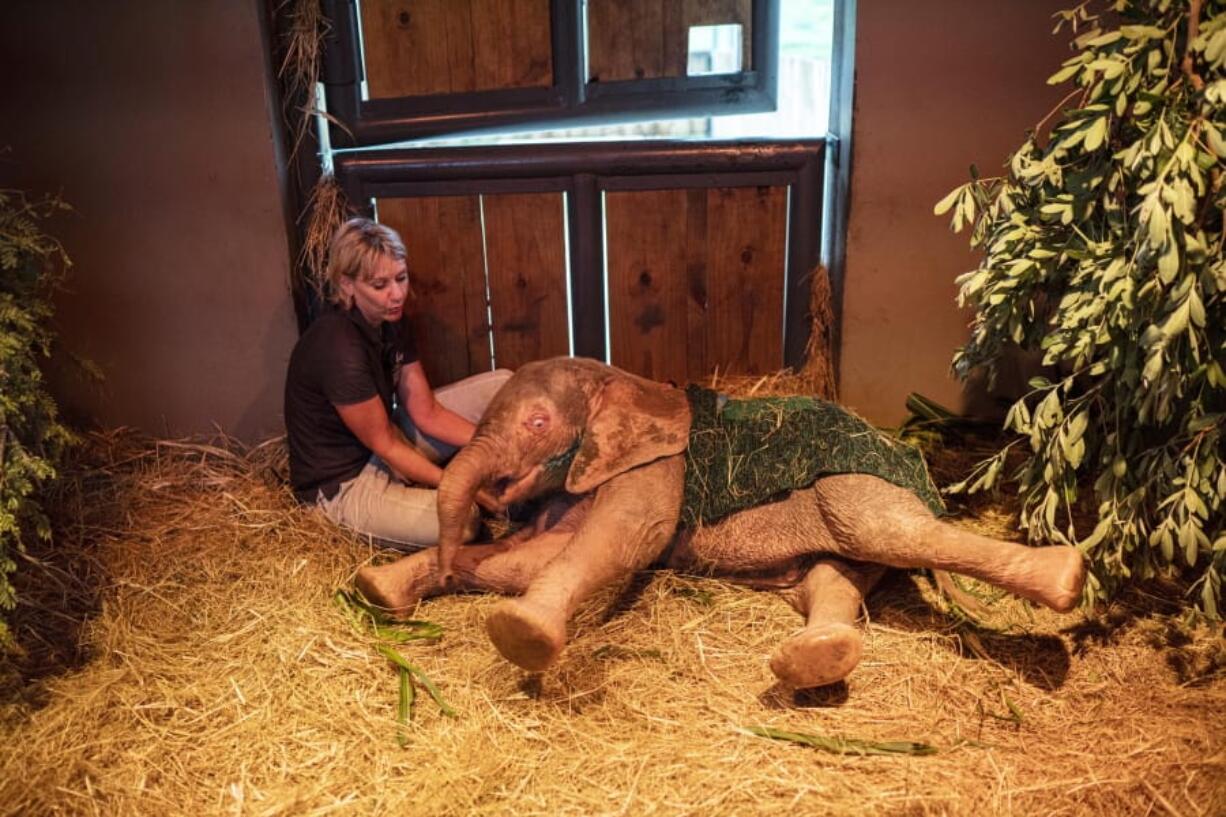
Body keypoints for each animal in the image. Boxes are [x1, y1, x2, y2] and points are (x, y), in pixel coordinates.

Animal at [355, 360, 1083, 682]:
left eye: (537, 423)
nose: (483, 515)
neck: (618, 379)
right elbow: (535, 553)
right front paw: (380, 589)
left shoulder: (659, 464)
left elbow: (619, 543)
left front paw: (521, 635)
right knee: (832, 579)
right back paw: (815, 659)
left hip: (861, 487)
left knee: (903, 536)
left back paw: (1067, 576)